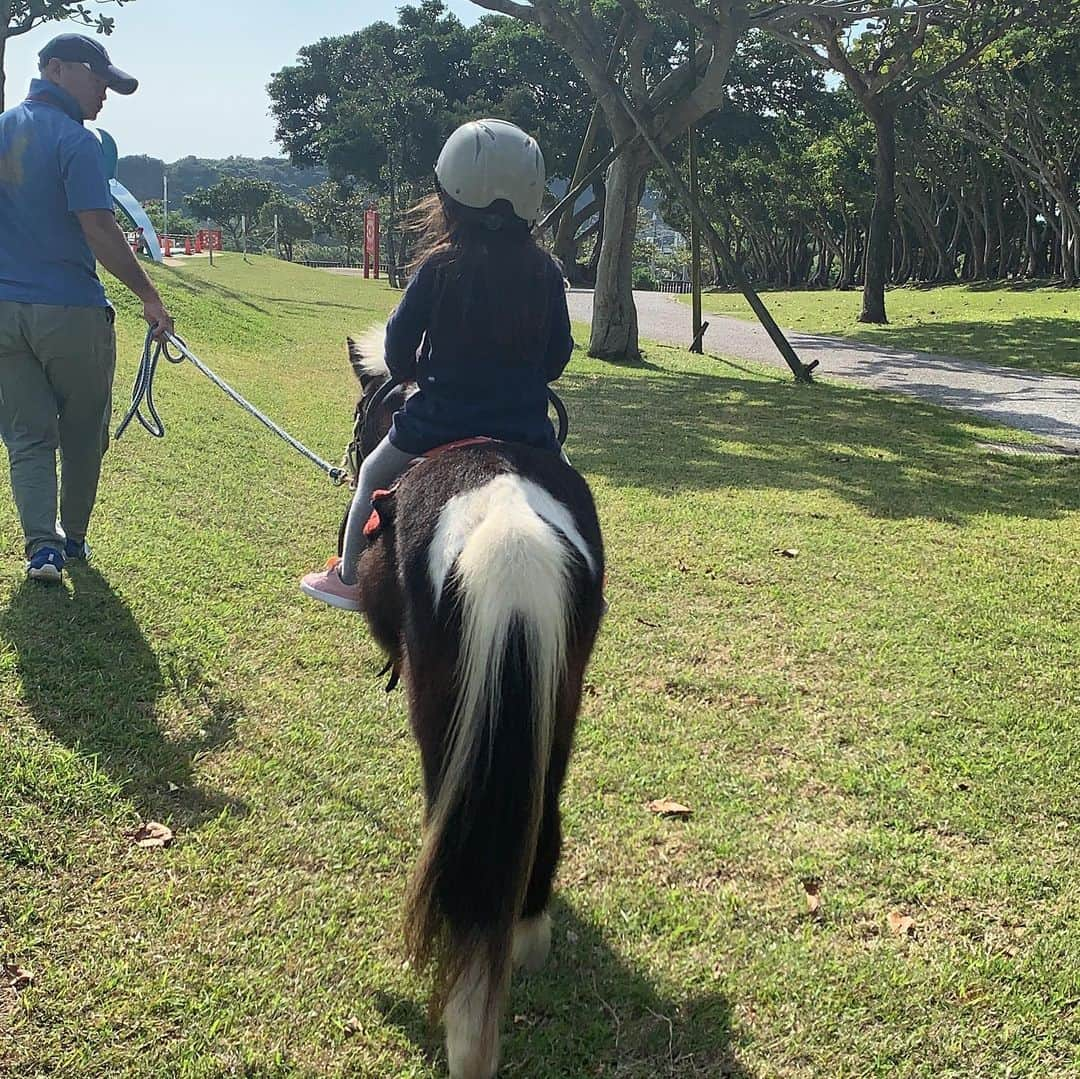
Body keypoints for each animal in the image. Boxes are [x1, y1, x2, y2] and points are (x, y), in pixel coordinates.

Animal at [341, 328, 604, 1079]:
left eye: (364, 412)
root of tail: (511, 538)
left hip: (443, 707)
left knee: (445, 805)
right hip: (560, 701)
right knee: (546, 808)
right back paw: (530, 929)